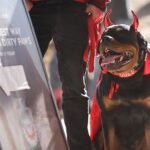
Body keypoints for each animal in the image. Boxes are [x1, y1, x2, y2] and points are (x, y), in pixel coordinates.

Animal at [96, 9, 150, 149]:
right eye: (103, 34)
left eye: (121, 33)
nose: (104, 38)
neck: (126, 80)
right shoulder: (107, 116)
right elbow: (109, 144)